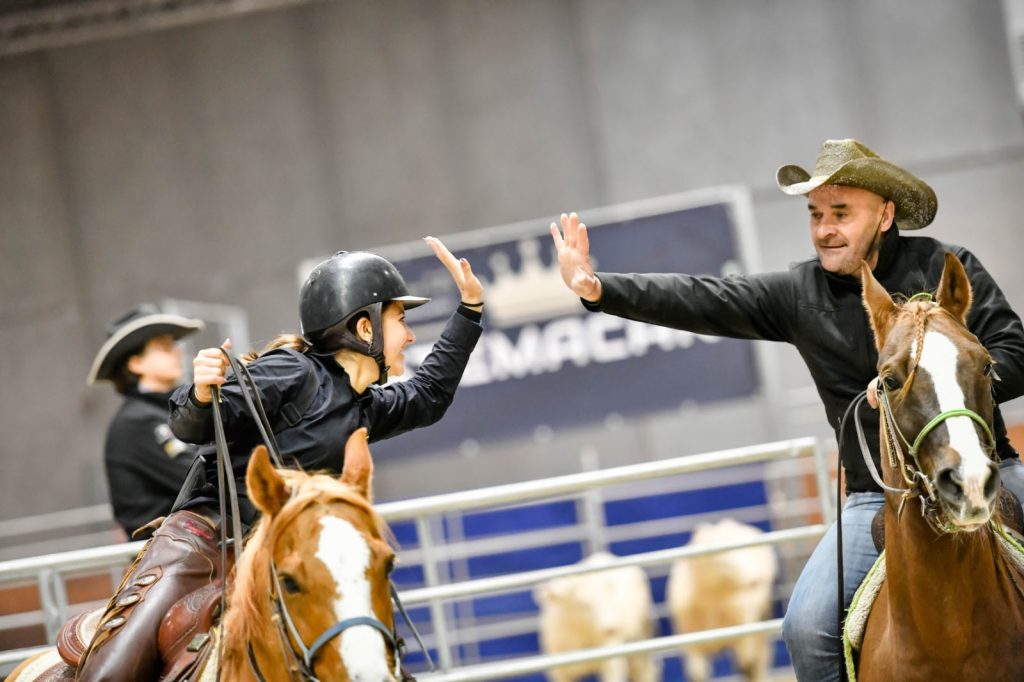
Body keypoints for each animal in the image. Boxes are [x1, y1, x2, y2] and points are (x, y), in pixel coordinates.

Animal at [663, 518, 774, 675]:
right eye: (717, 556)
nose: (758, 577)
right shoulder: (692, 647)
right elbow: (697, 674)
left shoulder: (744, 637)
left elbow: (747, 665)